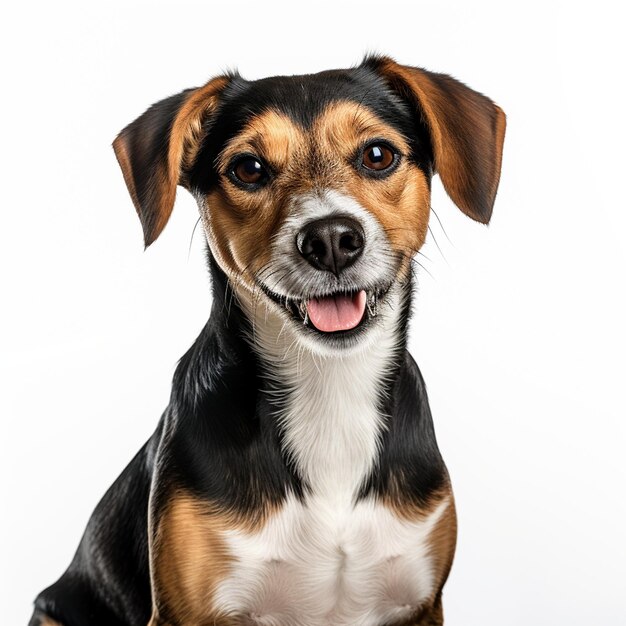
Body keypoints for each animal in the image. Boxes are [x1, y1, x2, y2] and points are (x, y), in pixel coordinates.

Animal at [31, 56, 504, 620]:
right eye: (248, 168)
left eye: (378, 155)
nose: (330, 239)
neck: (330, 389)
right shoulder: (185, 612)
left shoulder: (420, 603)